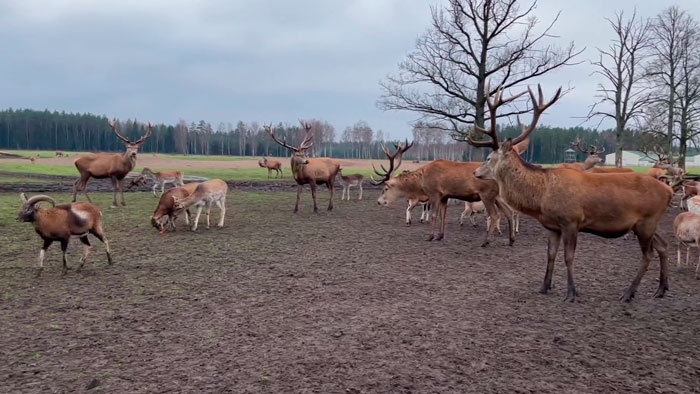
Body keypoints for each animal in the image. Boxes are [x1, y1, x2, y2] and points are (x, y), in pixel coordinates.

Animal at [470, 83, 672, 304]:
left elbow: (568, 257)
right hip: (648, 224)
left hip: (646, 222)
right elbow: (550, 254)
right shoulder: (552, 226)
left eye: (489, 158)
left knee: (648, 255)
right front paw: (544, 286)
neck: (541, 198)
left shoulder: (571, 220)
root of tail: (669, 190)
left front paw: (571, 293)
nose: (475, 172)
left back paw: (628, 293)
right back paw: (661, 289)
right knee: (663, 246)